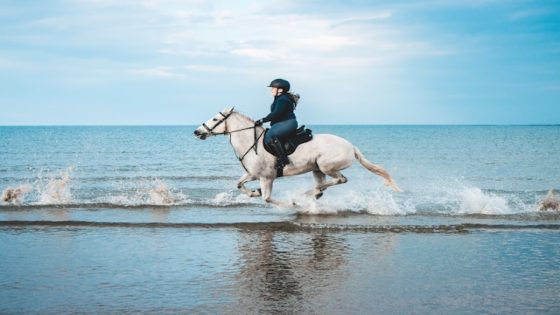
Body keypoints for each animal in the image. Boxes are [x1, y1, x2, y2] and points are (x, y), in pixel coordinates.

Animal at [195, 107, 400, 209]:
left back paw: (304, 195)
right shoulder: (253, 174)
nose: (197, 132)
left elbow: (268, 199)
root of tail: (351, 146)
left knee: (340, 180)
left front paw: (290, 203)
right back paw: (312, 194)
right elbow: (238, 184)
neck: (252, 142)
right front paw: (253, 193)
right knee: (323, 186)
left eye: (215, 119)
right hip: (317, 169)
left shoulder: (266, 177)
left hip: (326, 166)